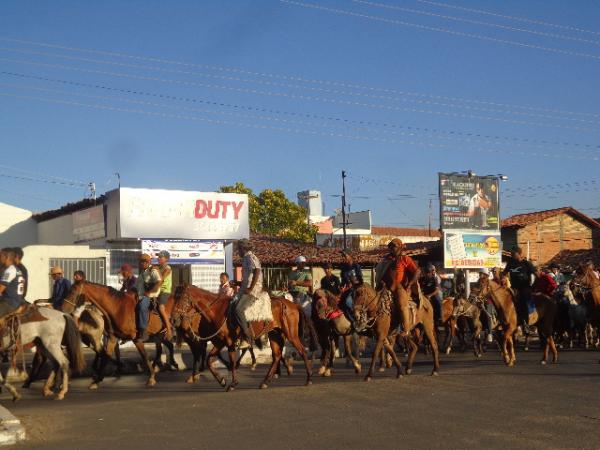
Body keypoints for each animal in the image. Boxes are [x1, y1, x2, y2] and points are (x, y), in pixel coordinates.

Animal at [172, 284, 316, 390]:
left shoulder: (229, 342)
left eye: (182, 299)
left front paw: (232, 383)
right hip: (274, 334)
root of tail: (293, 304)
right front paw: (222, 380)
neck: (217, 311)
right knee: (276, 356)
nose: (174, 319)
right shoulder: (219, 342)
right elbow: (209, 359)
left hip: (291, 334)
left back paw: (309, 378)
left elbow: (231, 360)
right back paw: (265, 381)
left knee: (302, 351)